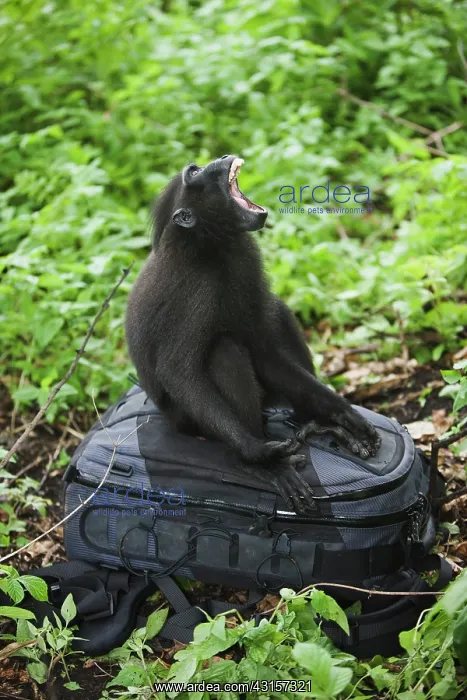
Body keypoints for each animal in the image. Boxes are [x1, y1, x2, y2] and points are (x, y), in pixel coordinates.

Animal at [125, 155, 381, 514]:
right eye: (195, 173)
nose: (220, 158)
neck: (209, 244)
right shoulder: (197, 292)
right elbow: (178, 373)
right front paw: (256, 452)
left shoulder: (245, 263)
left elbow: (265, 352)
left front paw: (345, 415)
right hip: (188, 421)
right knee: (224, 351)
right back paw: (261, 464)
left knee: (278, 314)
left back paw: (319, 425)